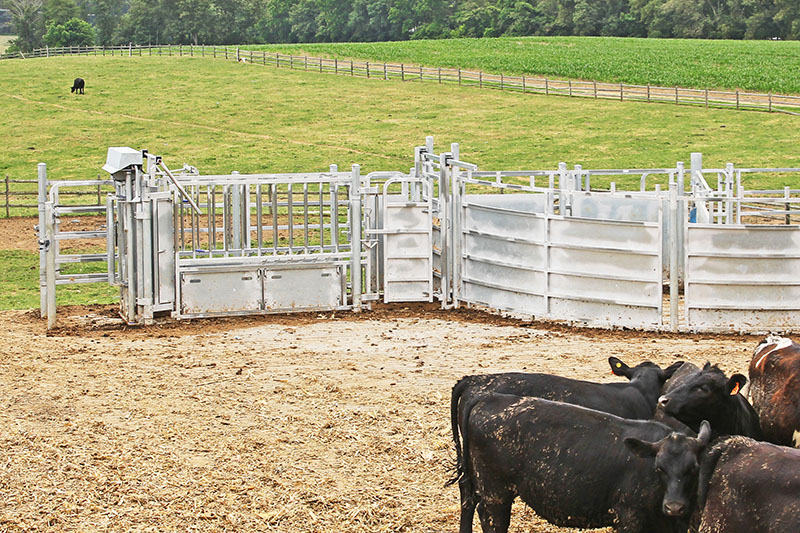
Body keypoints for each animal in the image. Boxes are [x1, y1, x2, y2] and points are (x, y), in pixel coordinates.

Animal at [454, 392, 708, 528]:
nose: (674, 507)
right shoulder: (629, 518)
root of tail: (491, 397)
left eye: (694, 469)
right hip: (495, 493)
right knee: (491, 520)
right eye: (659, 468)